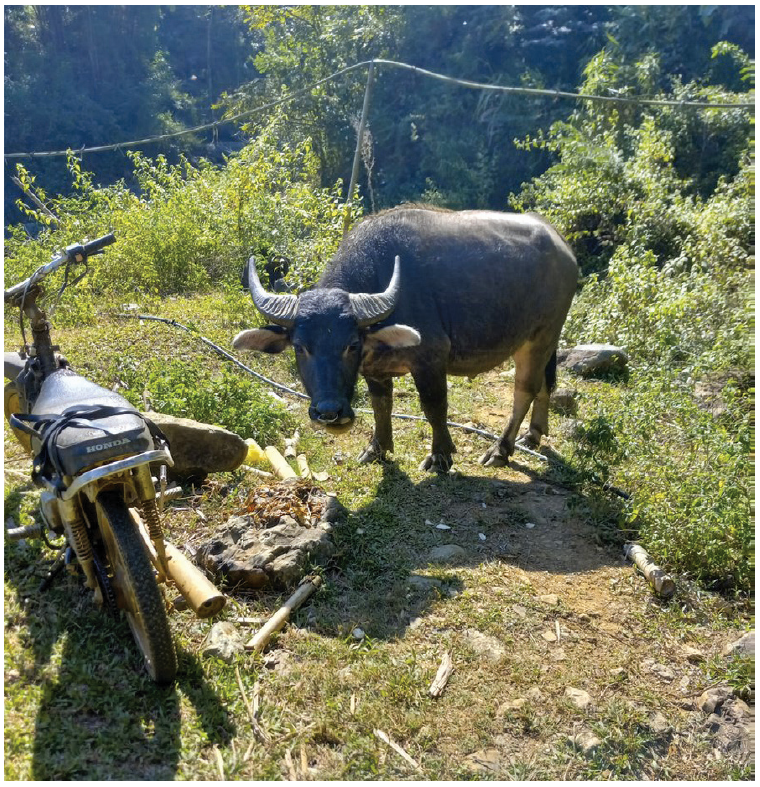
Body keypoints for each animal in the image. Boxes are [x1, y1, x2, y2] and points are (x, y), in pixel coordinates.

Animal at [232, 206, 576, 470]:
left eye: (351, 345)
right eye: (301, 347)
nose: (329, 413)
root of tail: (562, 246)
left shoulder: (430, 359)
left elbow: (434, 407)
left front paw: (440, 456)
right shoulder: (375, 371)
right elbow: (381, 405)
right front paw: (377, 448)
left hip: (542, 335)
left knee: (525, 389)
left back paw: (500, 450)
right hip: (538, 341)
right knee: (545, 383)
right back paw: (533, 434)